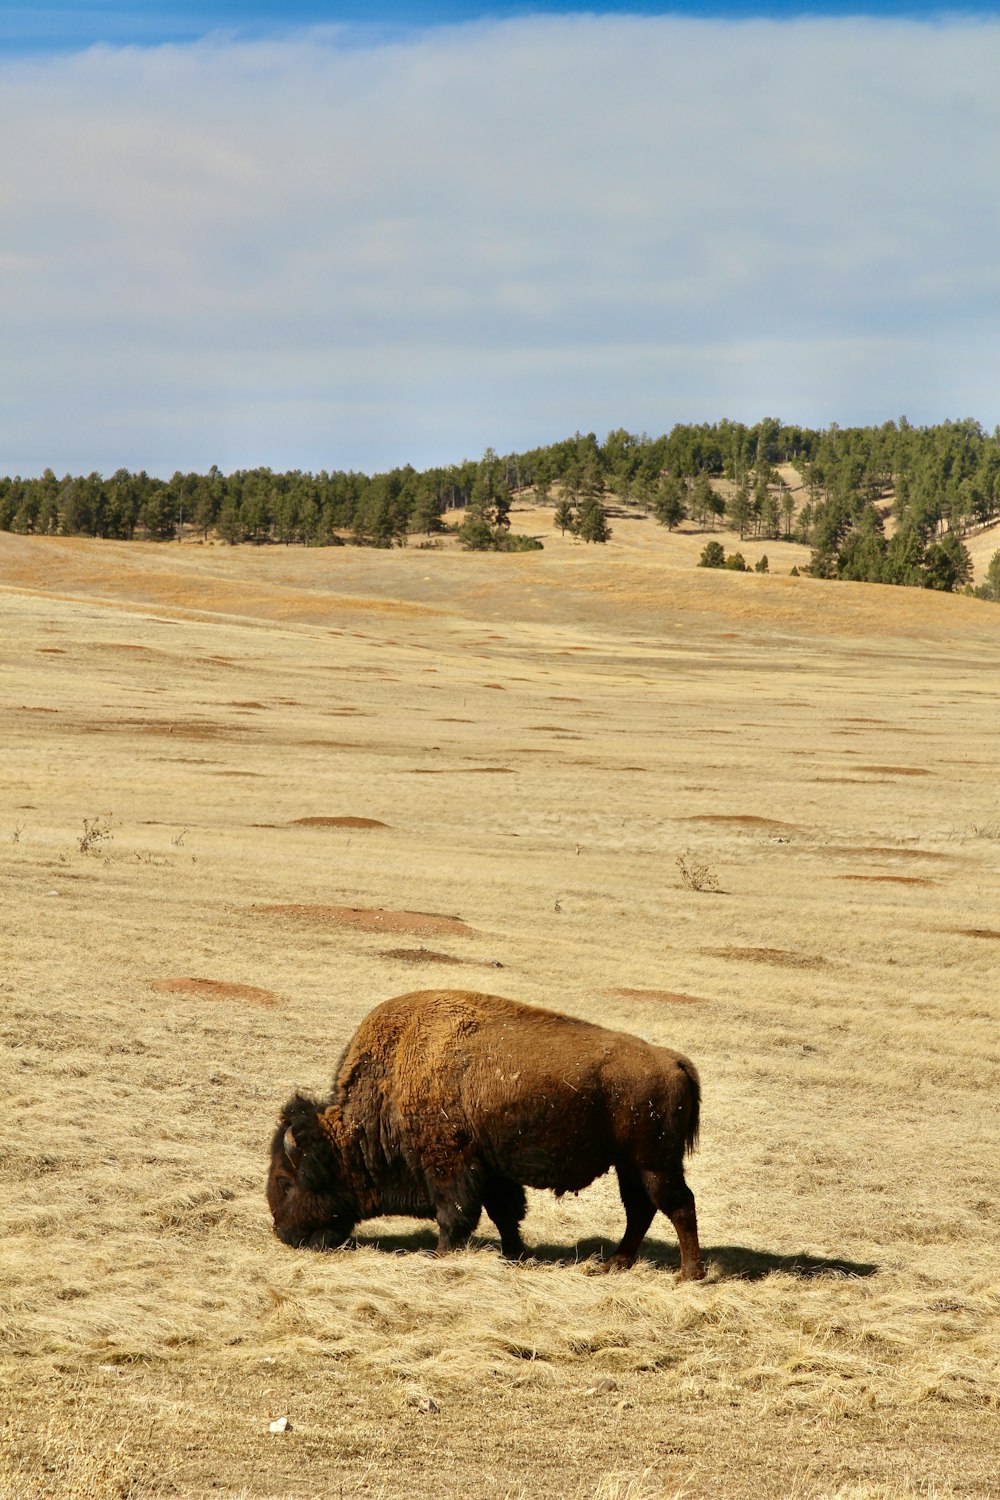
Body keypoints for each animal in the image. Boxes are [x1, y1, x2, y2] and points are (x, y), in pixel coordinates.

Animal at [265, 984, 704, 1278]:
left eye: (286, 1181)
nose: (283, 1234)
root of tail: (673, 1061)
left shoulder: (448, 1164)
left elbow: (455, 1214)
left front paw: (439, 1255)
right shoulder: (491, 1170)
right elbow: (505, 1214)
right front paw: (514, 1255)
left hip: (654, 1162)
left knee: (678, 1204)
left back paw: (688, 1275)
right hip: (629, 1164)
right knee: (641, 1209)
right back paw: (615, 1263)